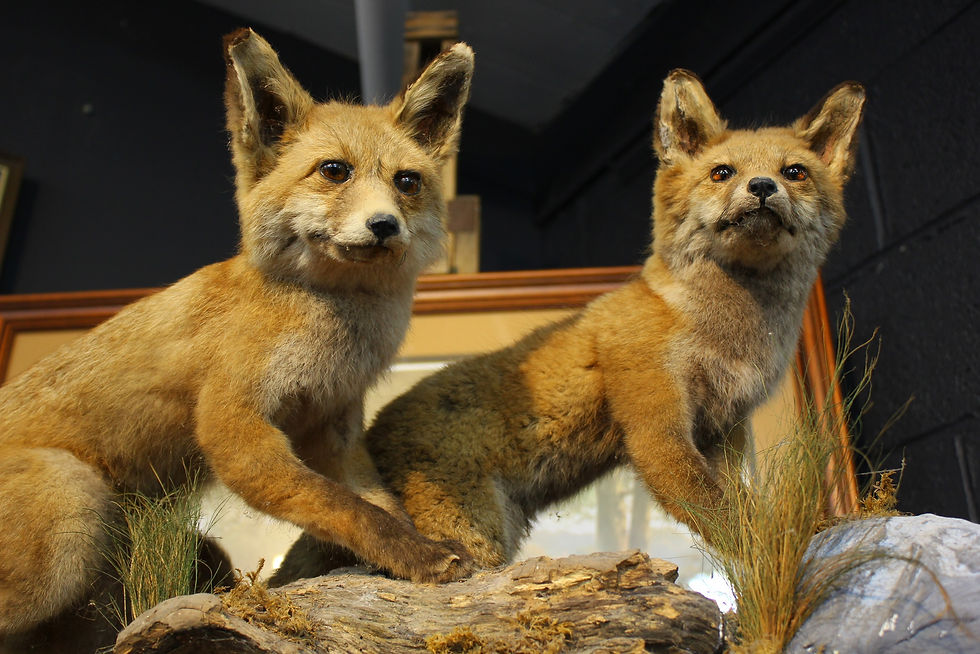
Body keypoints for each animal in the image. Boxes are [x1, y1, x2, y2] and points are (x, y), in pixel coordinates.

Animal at [0, 28, 475, 636]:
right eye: (334, 171)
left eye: (407, 182)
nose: (385, 225)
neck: (335, 334)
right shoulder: (234, 424)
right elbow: (344, 507)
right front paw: (418, 557)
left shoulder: (334, 426)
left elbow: (379, 501)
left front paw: (421, 545)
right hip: (73, 517)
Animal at [271, 70, 866, 582]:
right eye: (723, 173)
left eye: (794, 172)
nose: (763, 186)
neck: (731, 334)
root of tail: (374, 431)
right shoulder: (657, 430)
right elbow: (736, 524)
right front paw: (785, 554)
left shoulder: (724, 430)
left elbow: (742, 506)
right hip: (477, 536)